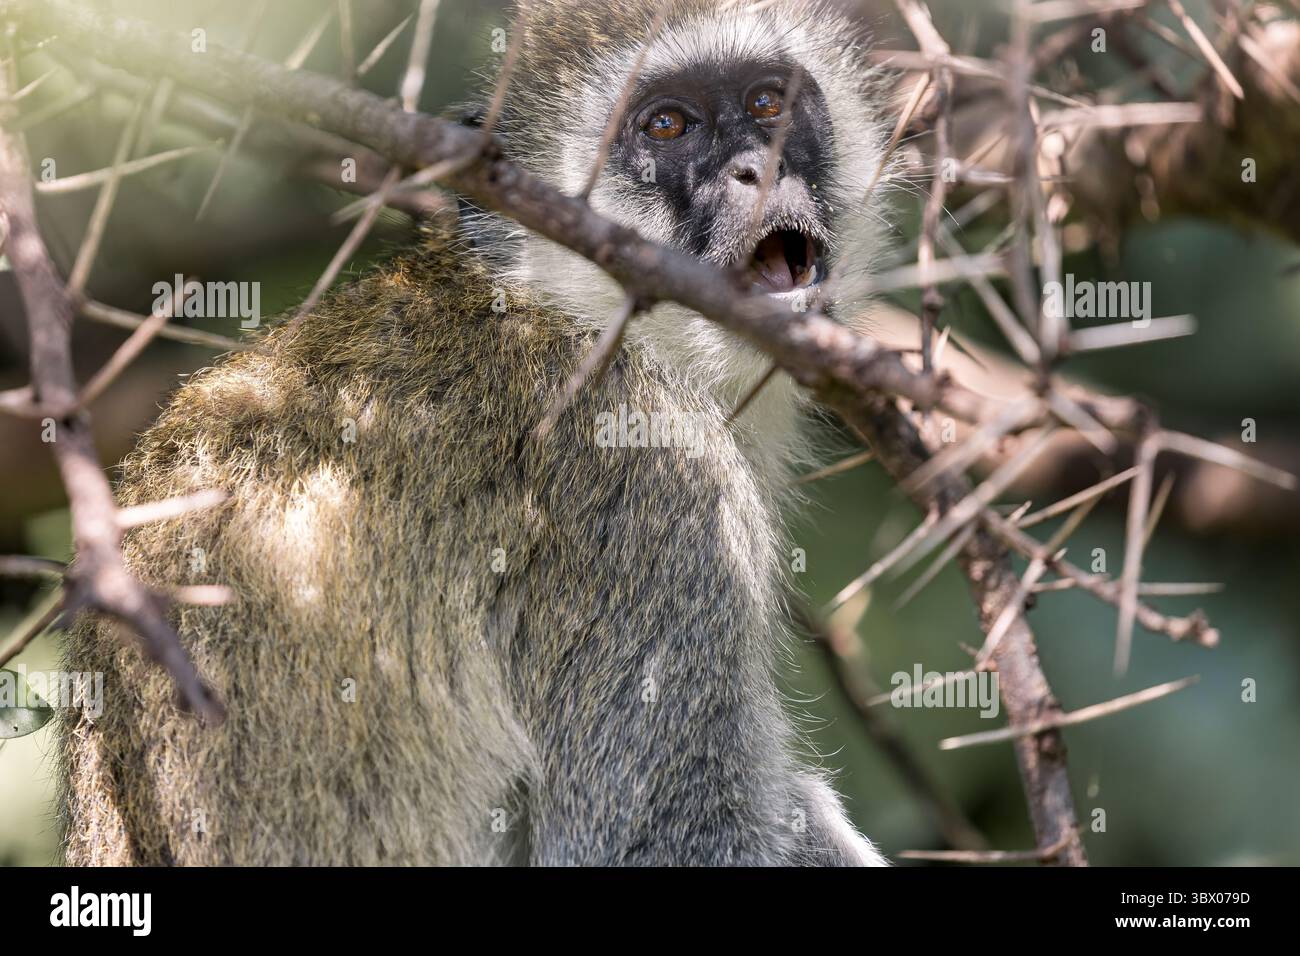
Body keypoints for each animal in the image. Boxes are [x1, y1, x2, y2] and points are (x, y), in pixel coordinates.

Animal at [58, 0, 891, 866]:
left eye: (768, 103)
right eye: (666, 125)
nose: (759, 168)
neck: (574, 315)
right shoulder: (654, 487)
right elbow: (657, 840)